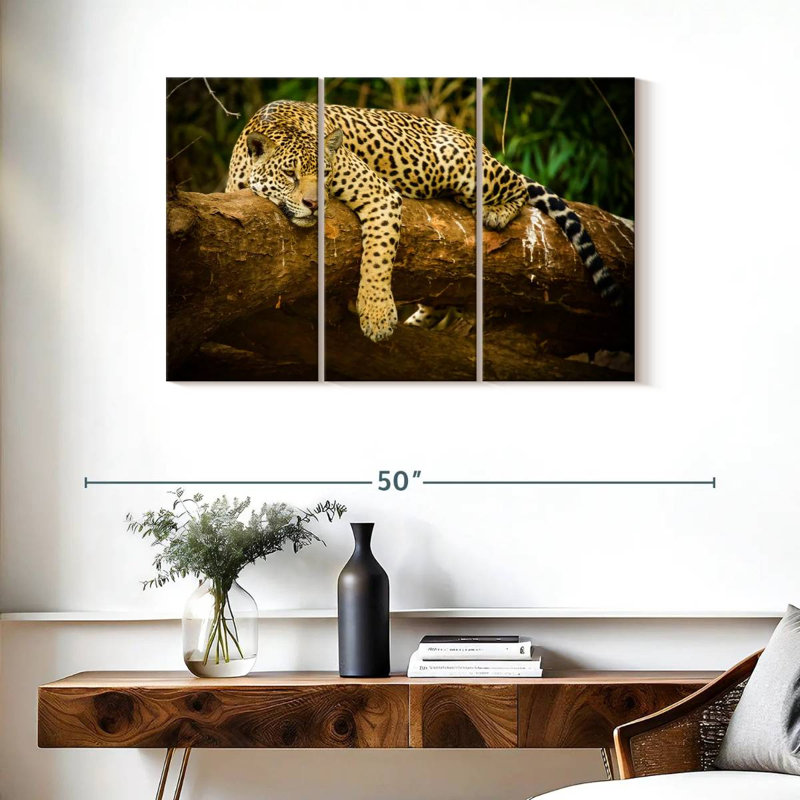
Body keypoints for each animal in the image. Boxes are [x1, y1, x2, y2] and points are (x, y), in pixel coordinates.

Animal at [226, 100, 622, 342]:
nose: (313, 203)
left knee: (518, 186)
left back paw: (493, 210)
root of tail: (475, 141)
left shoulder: (379, 193)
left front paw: (377, 316)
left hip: (462, 166)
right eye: (290, 175)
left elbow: (377, 258)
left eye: (325, 174)